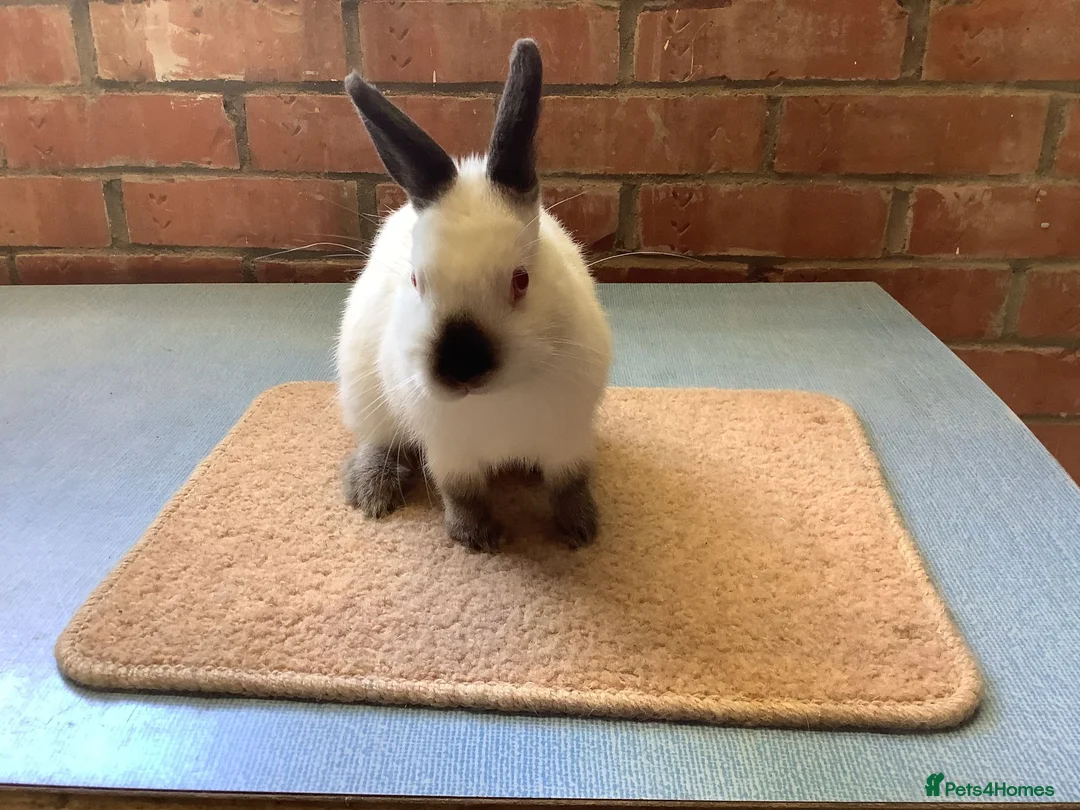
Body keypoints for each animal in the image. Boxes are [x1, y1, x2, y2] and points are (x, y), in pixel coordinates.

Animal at [336, 38, 613, 553]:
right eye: (416, 281)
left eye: (521, 280)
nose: (460, 370)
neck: (496, 400)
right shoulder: (450, 451)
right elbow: (460, 491)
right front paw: (476, 537)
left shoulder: (569, 439)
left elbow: (570, 482)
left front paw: (581, 531)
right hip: (363, 394)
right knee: (378, 439)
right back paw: (371, 490)